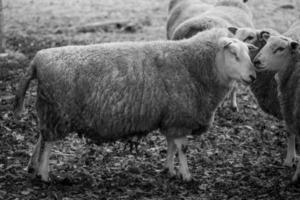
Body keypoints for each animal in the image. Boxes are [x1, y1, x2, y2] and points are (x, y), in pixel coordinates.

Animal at [14, 27, 258, 182]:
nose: (253, 77)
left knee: (41, 137)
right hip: (58, 112)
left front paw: (170, 171)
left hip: (50, 109)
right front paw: (187, 176)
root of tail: (38, 59)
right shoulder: (180, 117)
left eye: (248, 52)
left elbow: (171, 145)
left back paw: (33, 167)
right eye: (234, 54)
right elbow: (182, 148)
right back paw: (44, 175)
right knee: (48, 143)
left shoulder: (171, 118)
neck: (194, 65)